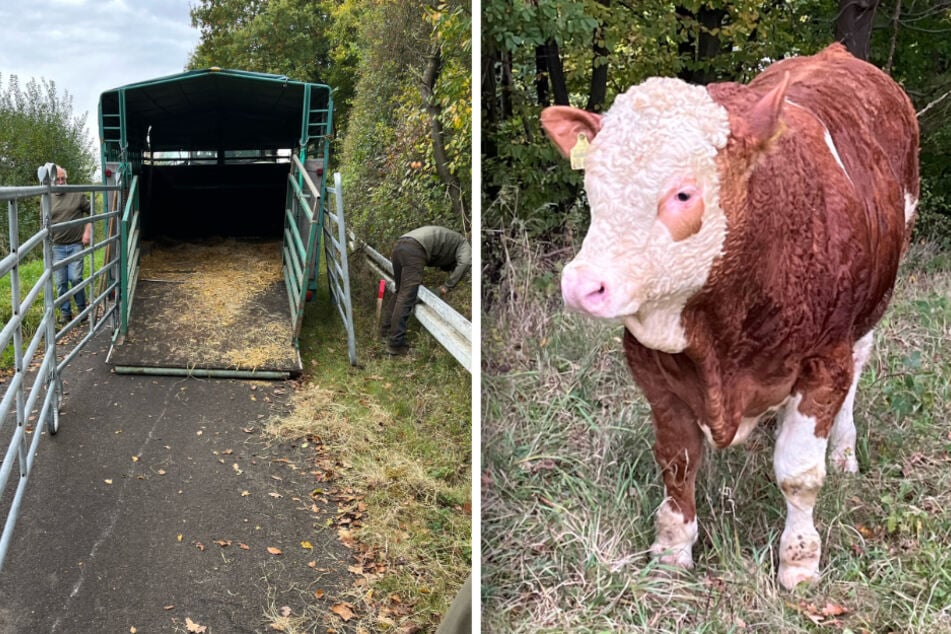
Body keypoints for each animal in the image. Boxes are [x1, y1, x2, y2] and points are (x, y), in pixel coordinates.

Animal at [544, 45, 924, 588]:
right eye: (594, 185)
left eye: (683, 194)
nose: (582, 286)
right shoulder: (647, 361)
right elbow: (677, 459)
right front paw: (672, 546)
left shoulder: (824, 360)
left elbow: (799, 472)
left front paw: (799, 561)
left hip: (874, 303)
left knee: (859, 367)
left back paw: (844, 451)